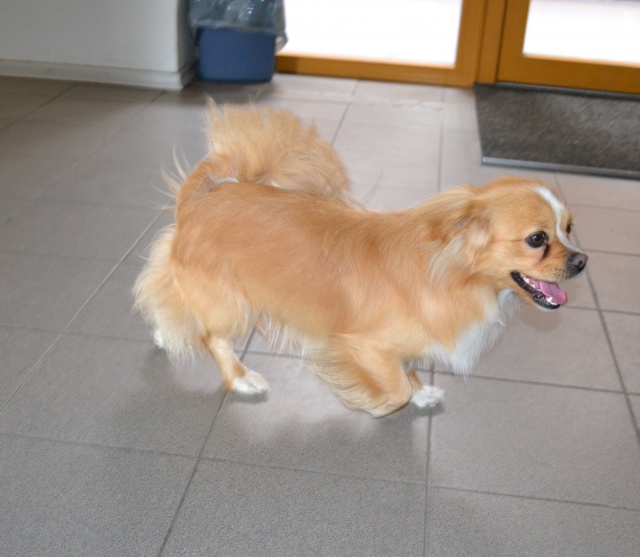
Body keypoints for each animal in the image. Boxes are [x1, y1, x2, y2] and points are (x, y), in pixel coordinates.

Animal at [134, 102, 587, 417]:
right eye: (537, 239)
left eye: (570, 228)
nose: (583, 261)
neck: (454, 274)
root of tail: (205, 194)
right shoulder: (362, 344)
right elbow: (394, 389)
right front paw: (375, 402)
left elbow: (407, 371)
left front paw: (420, 391)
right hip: (230, 303)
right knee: (213, 337)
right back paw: (241, 379)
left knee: (168, 300)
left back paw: (163, 333)